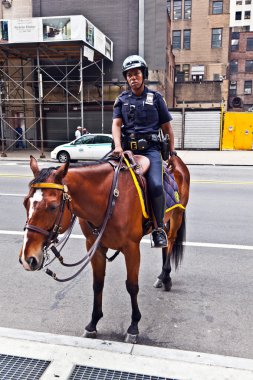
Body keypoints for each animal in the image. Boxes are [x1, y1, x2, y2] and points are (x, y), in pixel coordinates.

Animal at [19, 154, 190, 342]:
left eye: (52, 207)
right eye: (25, 202)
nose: (28, 258)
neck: (109, 199)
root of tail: (175, 159)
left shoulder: (131, 248)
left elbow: (132, 286)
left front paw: (133, 326)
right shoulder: (95, 246)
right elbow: (98, 284)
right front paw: (93, 323)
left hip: (177, 215)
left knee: (171, 241)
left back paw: (165, 276)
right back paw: (162, 276)